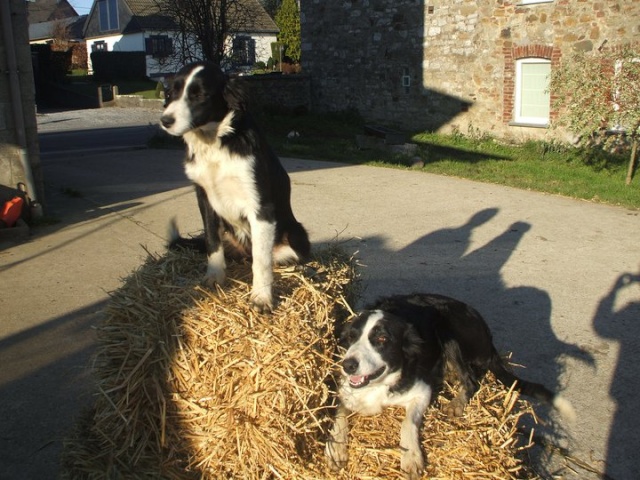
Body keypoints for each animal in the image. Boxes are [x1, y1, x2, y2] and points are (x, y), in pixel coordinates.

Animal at [160, 62, 310, 314]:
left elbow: (261, 260)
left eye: (200, 95)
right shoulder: (204, 197)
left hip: (296, 235)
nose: (165, 121)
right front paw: (214, 277)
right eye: (173, 92)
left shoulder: (261, 204)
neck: (215, 143)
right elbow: (212, 241)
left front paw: (261, 298)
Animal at [328, 294, 572, 478]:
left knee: (471, 380)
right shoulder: (343, 390)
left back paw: (457, 402)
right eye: (351, 337)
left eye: (381, 340)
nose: (348, 365)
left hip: (447, 328)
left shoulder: (422, 392)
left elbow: (408, 423)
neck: (378, 384)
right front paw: (336, 449)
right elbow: (337, 414)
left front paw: (412, 457)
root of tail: (487, 336)